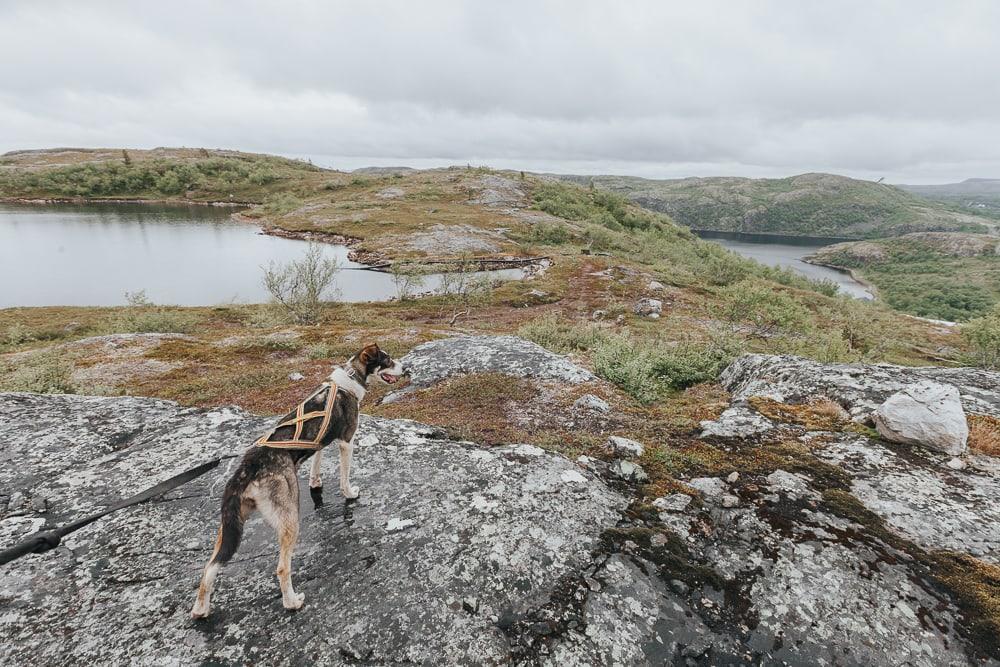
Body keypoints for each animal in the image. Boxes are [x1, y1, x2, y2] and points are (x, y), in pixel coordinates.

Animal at [191, 348, 402, 620]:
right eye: (387, 360)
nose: (406, 368)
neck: (349, 379)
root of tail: (247, 470)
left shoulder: (322, 442)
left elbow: (316, 466)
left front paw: (316, 482)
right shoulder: (346, 441)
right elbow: (344, 477)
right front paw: (349, 493)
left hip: (230, 527)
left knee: (209, 567)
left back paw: (201, 608)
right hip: (290, 517)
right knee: (282, 568)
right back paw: (292, 601)